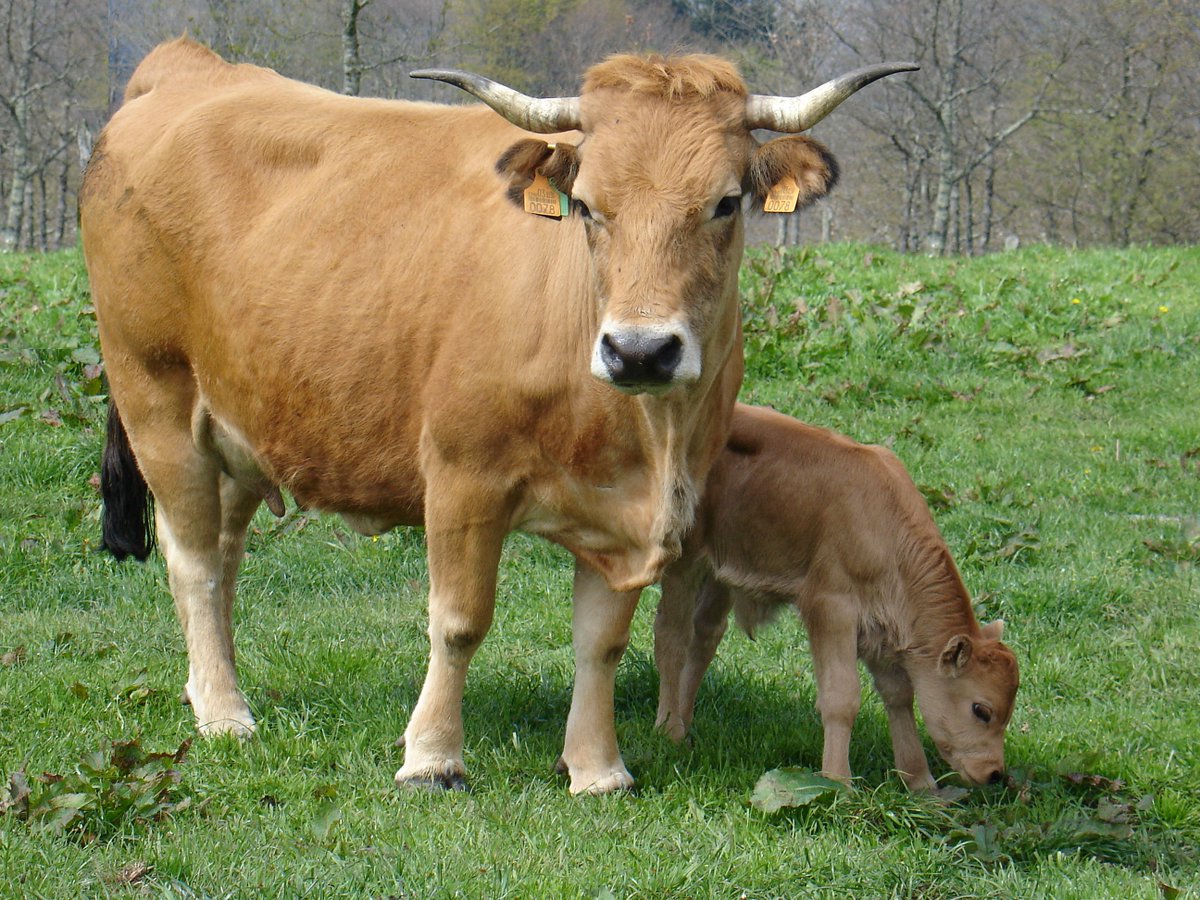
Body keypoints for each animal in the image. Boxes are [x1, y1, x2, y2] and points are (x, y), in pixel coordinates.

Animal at [80, 36, 913, 794]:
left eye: (725, 202)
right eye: (588, 206)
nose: (640, 351)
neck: (644, 435)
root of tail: (190, 65)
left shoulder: (625, 512)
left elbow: (602, 642)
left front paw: (597, 768)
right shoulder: (461, 476)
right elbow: (459, 622)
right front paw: (431, 757)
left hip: (239, 424)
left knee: (223, 556)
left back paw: (210, 688)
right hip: (156, 396)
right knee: (192, 558)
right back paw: (225, 713)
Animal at [653, 404, 1019, 791]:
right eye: (982, 710)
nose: (994, 773)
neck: (885, 525)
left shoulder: (884, 626)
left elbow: (899, 695)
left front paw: (921, 783)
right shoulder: (831, 608)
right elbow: (841, 698)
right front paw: (838, 782)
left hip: (718, 573)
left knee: (704, 636)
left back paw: (685, 724)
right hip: (683, 562)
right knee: (672, 637)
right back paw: (669, 729)